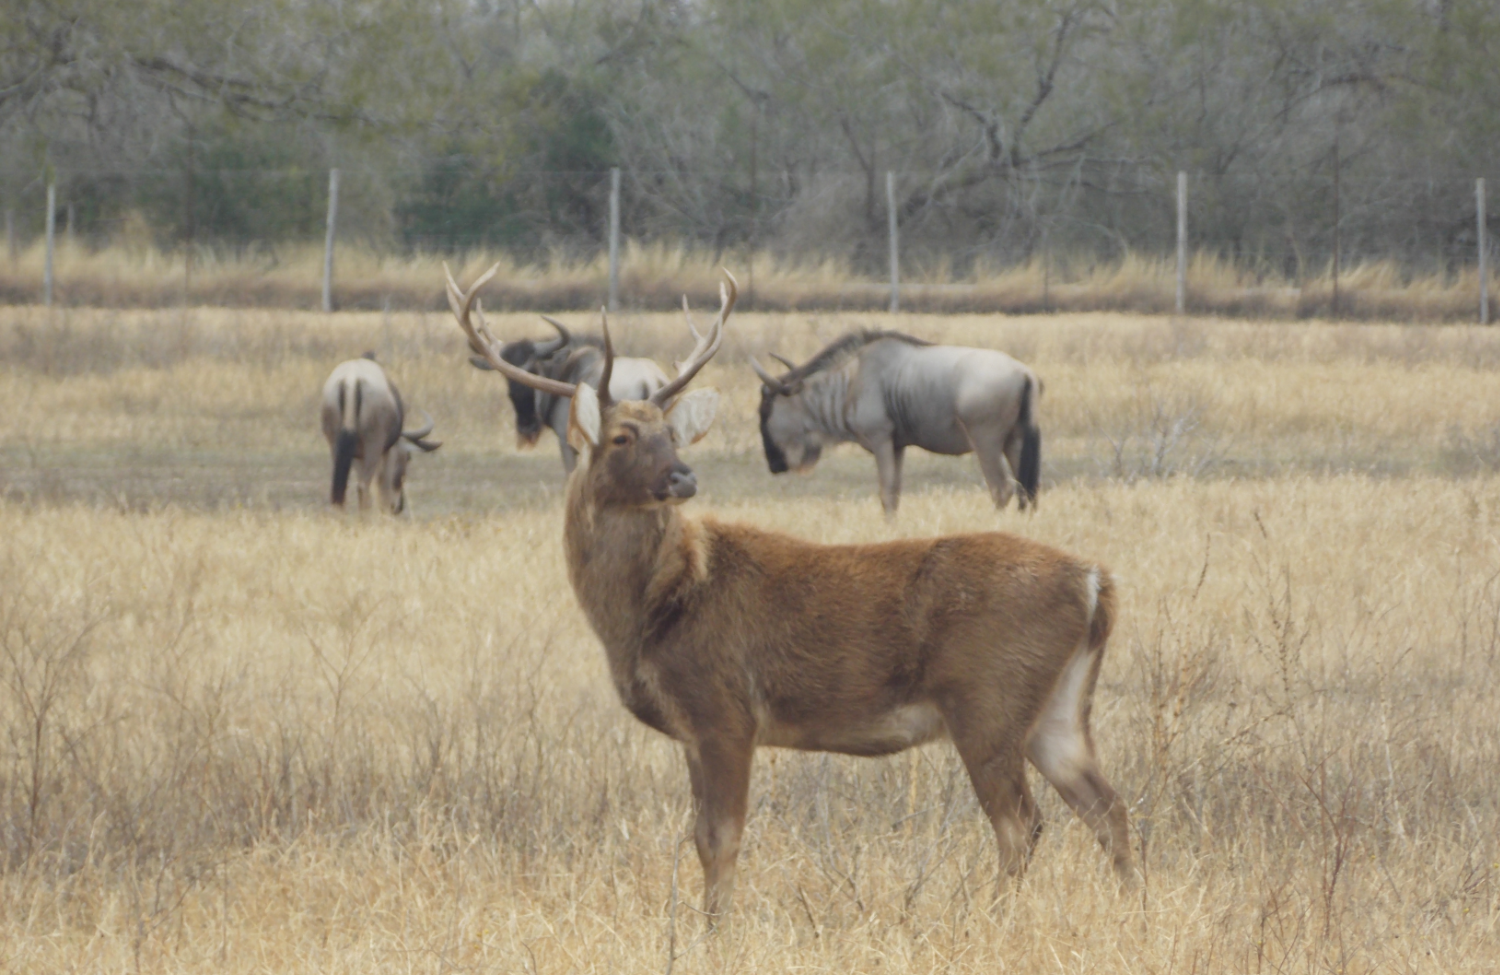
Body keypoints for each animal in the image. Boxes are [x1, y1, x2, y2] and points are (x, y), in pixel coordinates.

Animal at [321, 352, 441, 513]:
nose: (398, 507)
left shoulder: (356, 456)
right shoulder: (386, 452)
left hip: (336, 446)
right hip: (374, 447)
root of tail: (352, 380)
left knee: (340, 488)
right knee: (363, 486)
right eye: (408, 457)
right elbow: (383, 484)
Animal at [750, 330, 1044, 513]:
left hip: (986, 442)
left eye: (764, 410)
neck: (851, 382)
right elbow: (895, 494)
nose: (773, 465)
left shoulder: (880, 440)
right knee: (1026, 489)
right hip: (1014, 441)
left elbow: (886, 494)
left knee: (1002, 489)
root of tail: (1025, 373)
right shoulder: (898, 446)